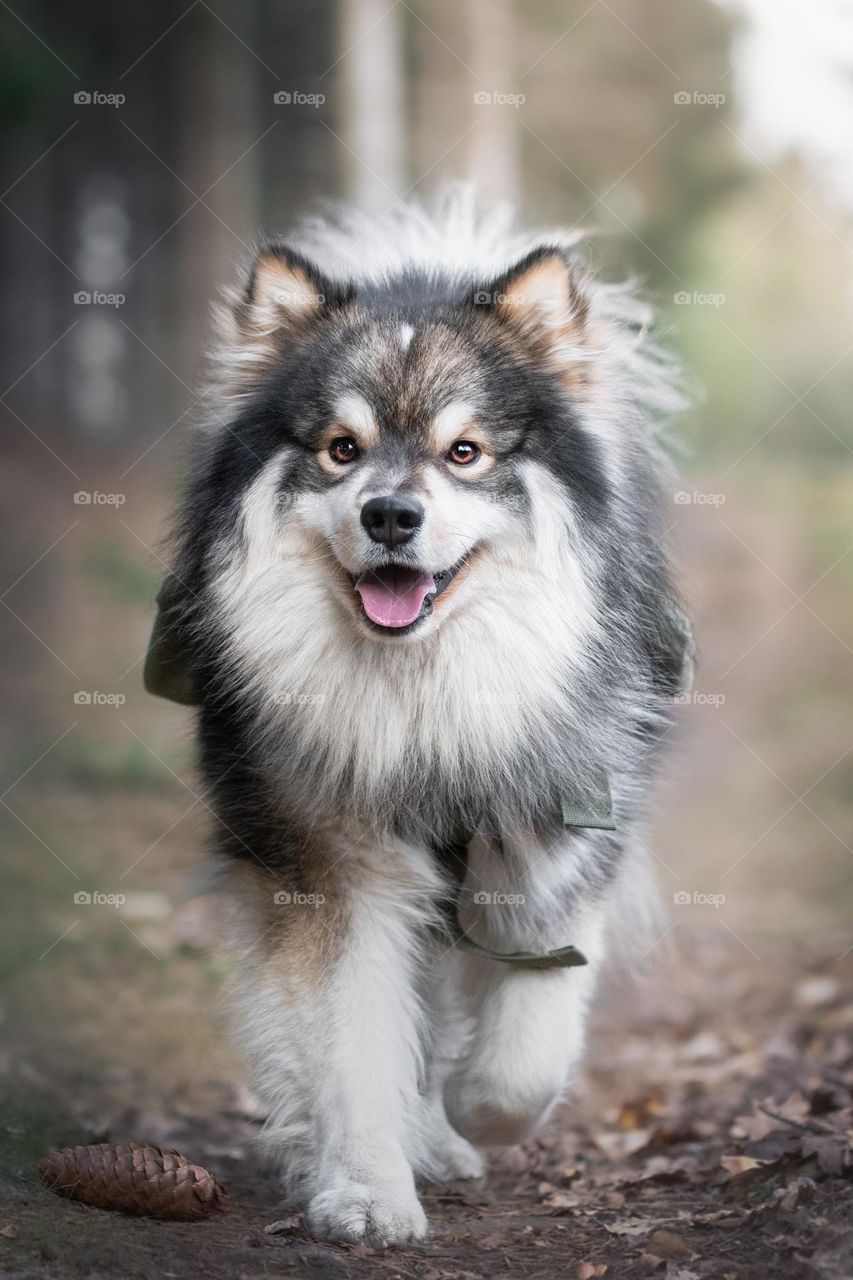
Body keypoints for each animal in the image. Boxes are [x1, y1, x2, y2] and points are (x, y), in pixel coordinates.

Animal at [144, 192, 691, 1249]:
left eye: (463, 452)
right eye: (340, 449)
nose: (391, 515)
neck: (422, 692)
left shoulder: (556, 837)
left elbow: (527, 1044)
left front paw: (479, 1108)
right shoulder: (332, 864)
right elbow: (352, 1043)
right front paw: (366, 1190)